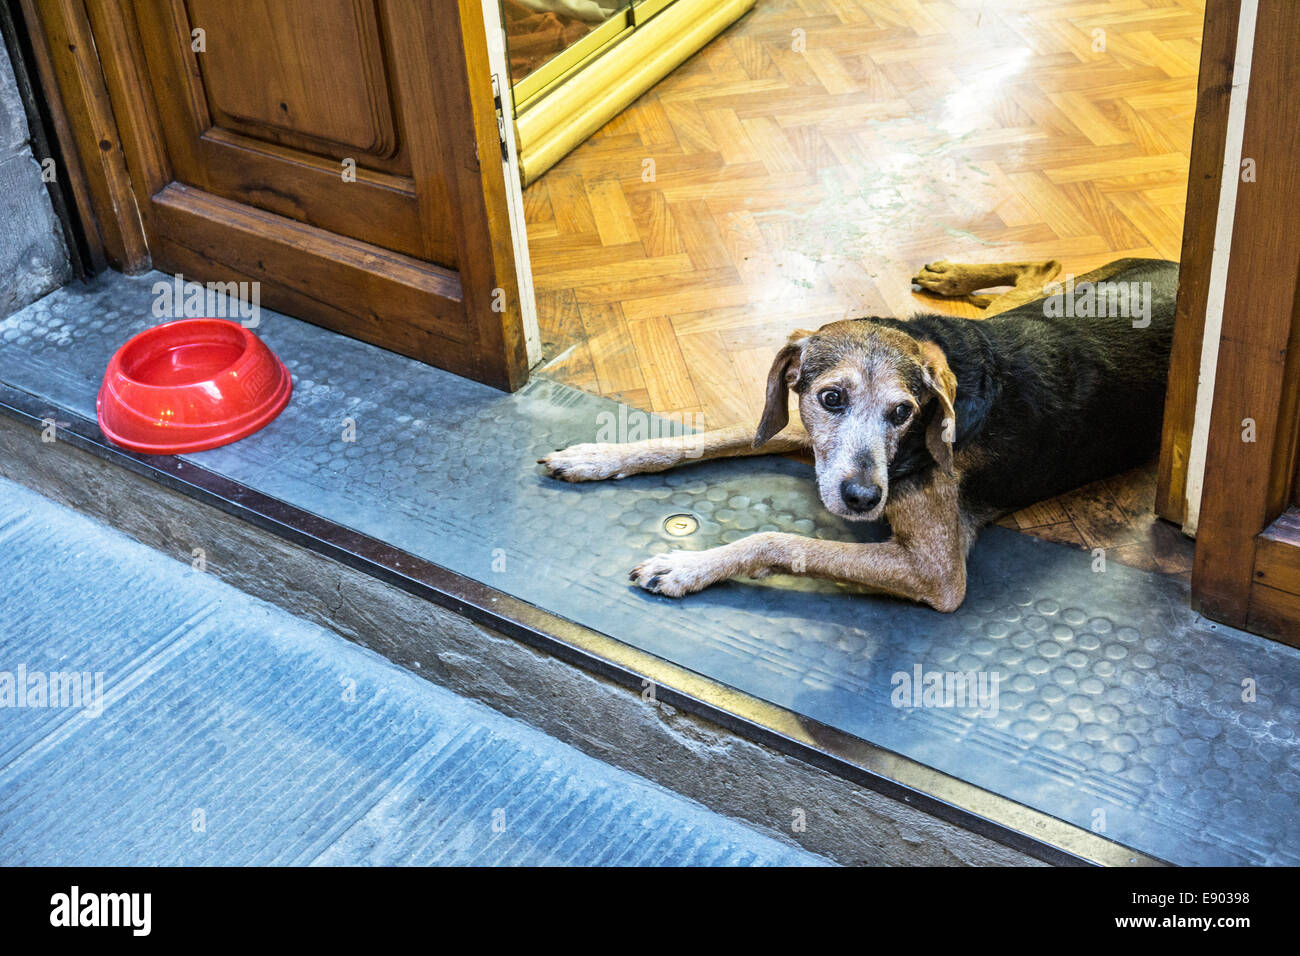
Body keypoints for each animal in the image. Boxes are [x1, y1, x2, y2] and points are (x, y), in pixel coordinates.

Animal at [538, 257, 1180, 608]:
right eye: (831, 398)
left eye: (903, 412)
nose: (864, 498)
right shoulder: (807, 435)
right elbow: (708, 437)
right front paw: (597, 456)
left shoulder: (936, 571)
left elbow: (780, 541)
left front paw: (688, 567)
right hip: (1042, 300)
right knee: (1039, 268)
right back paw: (953, 275)